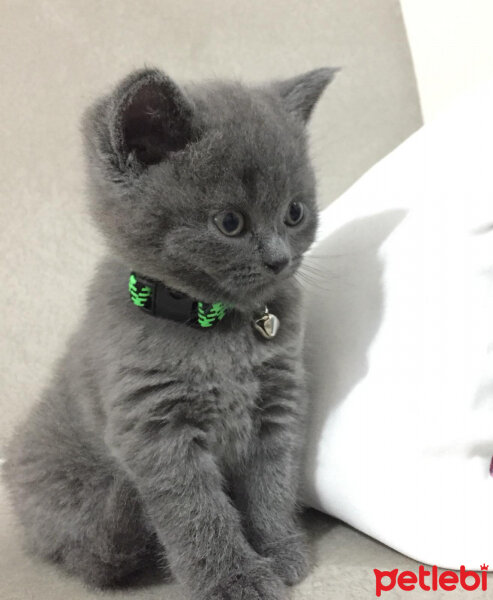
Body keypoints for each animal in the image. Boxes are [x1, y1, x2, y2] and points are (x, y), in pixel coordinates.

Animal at [2, 67, 334, 600]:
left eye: (295, 213)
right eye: (229, 222)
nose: (280, 260)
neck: (217, 325)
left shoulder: (278, 404)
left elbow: (272, 481)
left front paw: (280, 550)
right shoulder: (155, 427)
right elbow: (196, 512)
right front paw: (234, 579)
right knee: (87, 554)